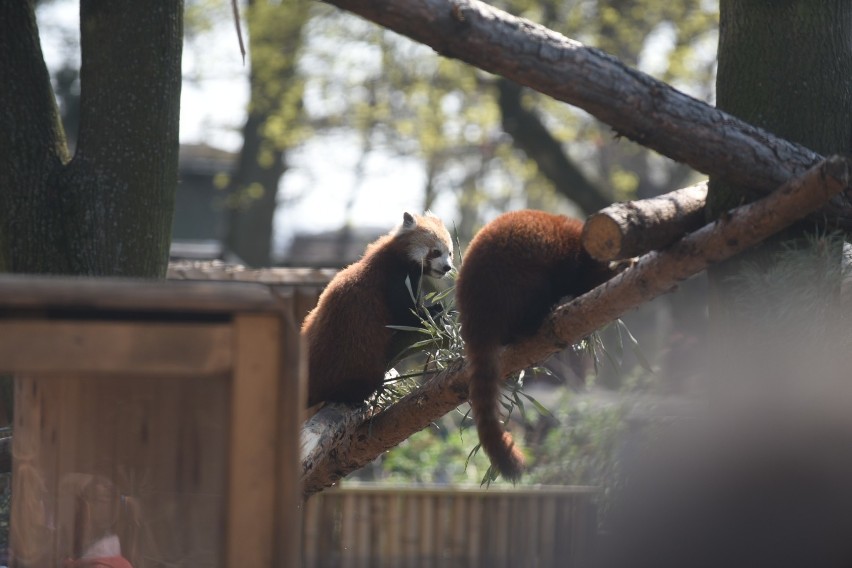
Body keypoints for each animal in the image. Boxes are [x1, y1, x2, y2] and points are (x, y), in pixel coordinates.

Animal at [302, 211, 456, 406]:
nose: (447, 267)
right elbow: (405, 316)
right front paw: (435, 310)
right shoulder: (396, 277)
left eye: (450, 253)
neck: (395, 255)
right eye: (436, 252)